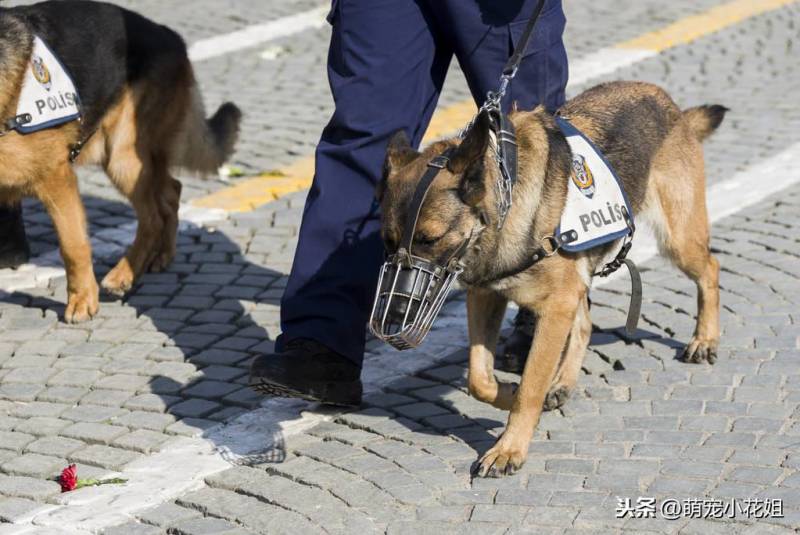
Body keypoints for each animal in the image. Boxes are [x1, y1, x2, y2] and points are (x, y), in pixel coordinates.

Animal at [0, 1, 241, 322]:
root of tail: (171, 37)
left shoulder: (56, 179)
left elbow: (73, 245)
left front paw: (82, 300)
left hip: (123, 158)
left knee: (153, 216)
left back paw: (123, 274)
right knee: (171, 192)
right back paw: (162, 255)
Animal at [376, 81, 724, 480]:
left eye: (429, 239)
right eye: (388, 242)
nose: (394, 315)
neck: (506, 199)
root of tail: (669, 104)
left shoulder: (553, 307)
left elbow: (529, 386)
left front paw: (508, 448)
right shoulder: (486, 297)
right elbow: (479, 378)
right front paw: (507, 393)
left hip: (677, 240)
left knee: (711, 268)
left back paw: (704, 339)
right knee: (584, 323)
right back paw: (561, 383)